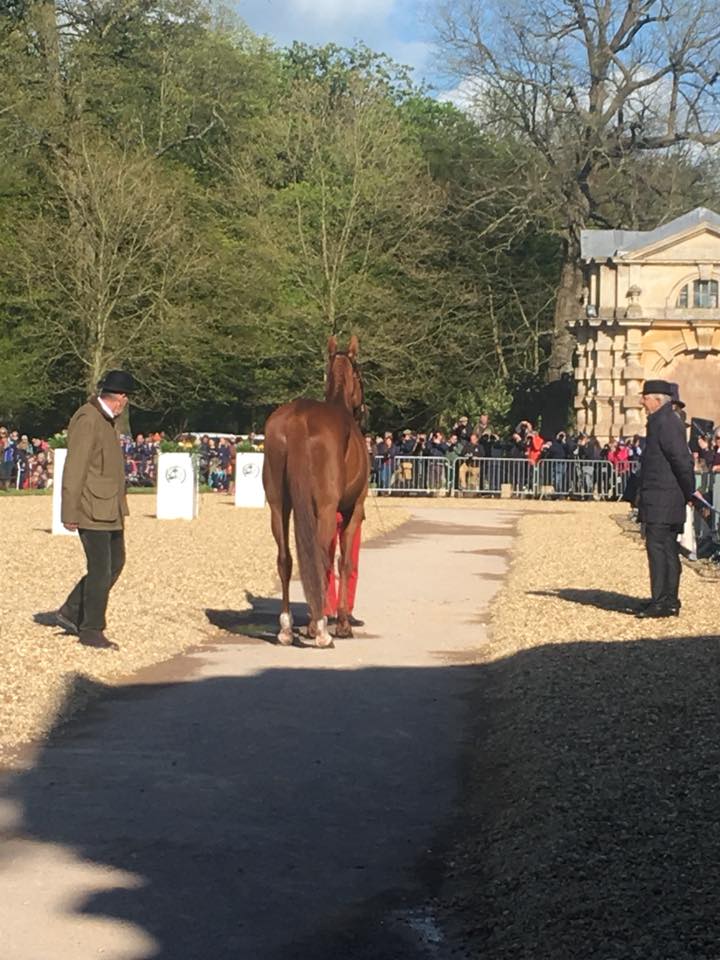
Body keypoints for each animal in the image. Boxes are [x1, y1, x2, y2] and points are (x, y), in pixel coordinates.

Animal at [262, 334, 368, 648]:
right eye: (361, 375)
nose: (364, 410)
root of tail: (298, 417)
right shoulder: (351, 510)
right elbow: (343, 562)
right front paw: (342, 624)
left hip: (278, 507)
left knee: (285, 559)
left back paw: (287, 629)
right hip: (326, 507)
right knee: (320, 559)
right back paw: (321, 629)